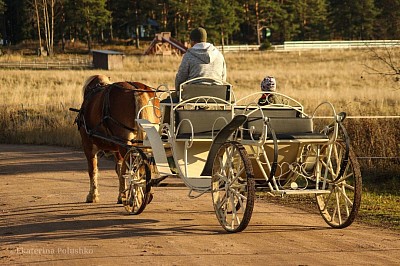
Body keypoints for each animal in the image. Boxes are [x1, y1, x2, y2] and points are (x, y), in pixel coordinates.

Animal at [76, 75, 160, 204]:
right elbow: (120, 170)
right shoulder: (116, 149)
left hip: (124, 143)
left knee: (133, 167)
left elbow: (93, 169)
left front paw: (92, 195)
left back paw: (134, 197)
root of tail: (137, 89)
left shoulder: (88, 145)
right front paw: (121, 195)